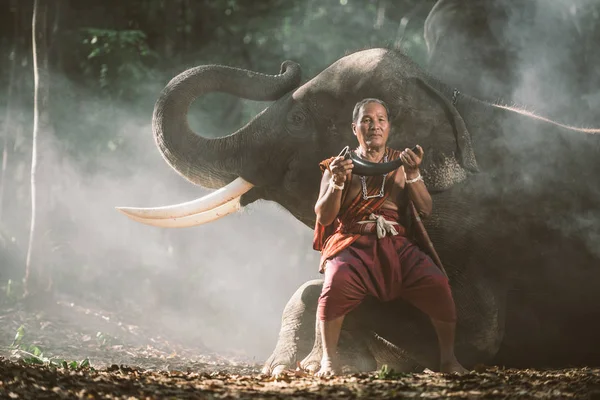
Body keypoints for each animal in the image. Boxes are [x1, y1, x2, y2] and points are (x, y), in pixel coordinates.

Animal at [116, 47, 600, 376]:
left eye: (298, 121)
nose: (287, 65)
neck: (450, 97)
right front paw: (283, 365)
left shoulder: (472, 237)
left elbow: (472, 331)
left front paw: (319, 363)